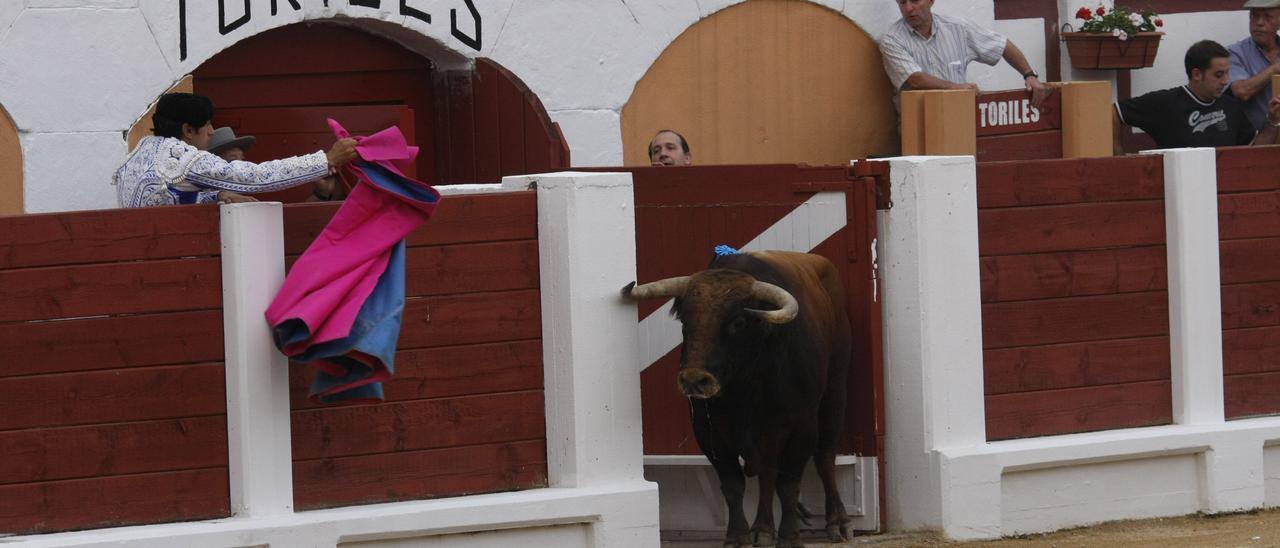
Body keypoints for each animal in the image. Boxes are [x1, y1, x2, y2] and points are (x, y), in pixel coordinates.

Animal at [622, 250, 849, 545]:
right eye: (685, 321)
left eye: (738, 323)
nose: (694, 379)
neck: (746, 386)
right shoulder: (708, 432)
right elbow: (733, 485)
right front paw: (738, 535)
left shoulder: (802, 427)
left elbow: (789, 485)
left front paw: (790, 537)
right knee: (767, 473)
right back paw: (762, 528)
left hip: (834, 392)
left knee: (824, 457)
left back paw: (837, 522)